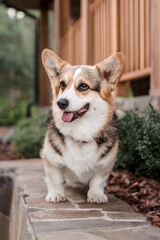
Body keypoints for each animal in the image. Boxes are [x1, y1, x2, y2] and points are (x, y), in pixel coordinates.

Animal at [41, 49, 125, 203]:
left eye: (83, 86)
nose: (61, 103)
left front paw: (96, 195)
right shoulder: (51, 161)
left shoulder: (105, 165)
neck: (80, 133)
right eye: (62, 85)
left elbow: (98, 180)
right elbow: (54, 179)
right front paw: (56, 194)